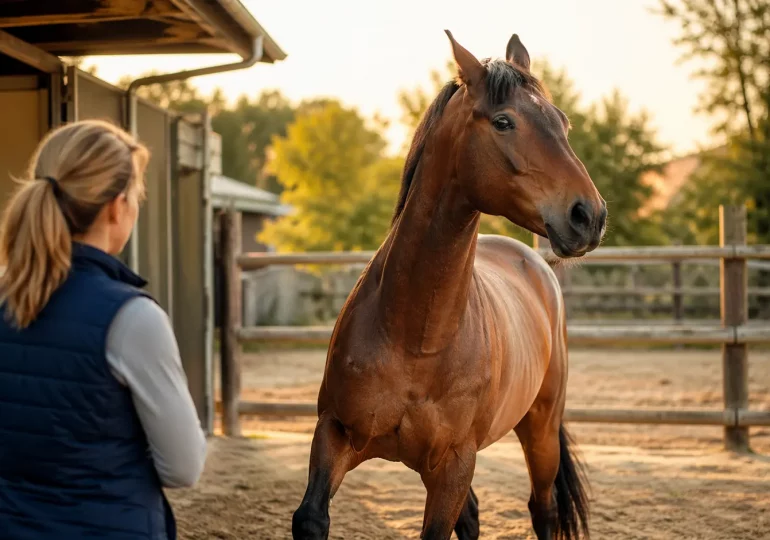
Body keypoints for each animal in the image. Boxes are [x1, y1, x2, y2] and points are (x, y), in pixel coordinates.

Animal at [292, 30, 606, 540]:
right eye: (503, 121)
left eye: (562, 122)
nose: (589, 215)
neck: (416, 338)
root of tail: (535, 262)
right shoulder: (334, 433)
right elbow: (311, 518)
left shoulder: (456, 463)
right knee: (476, 516)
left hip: (540, 431)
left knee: (543, 510)